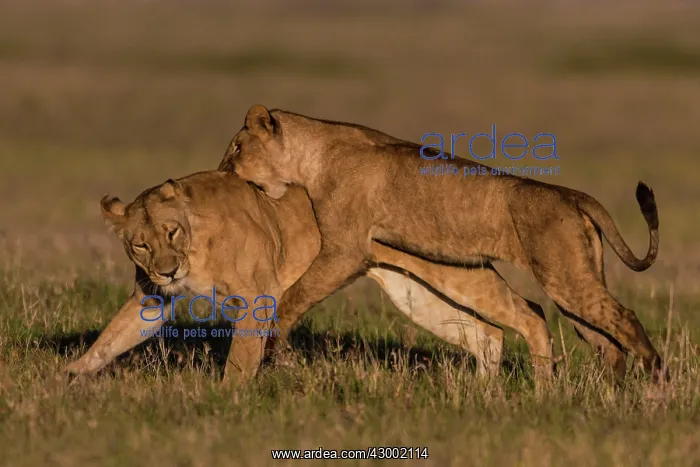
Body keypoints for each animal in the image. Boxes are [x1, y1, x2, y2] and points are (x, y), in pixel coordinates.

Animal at [65, 171, 559, 382]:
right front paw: (68, 380)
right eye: (141, 244)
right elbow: (110, 339)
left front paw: (227, 401)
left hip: (457, 277)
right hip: (414, 294)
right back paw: (483, 396)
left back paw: (542, 389)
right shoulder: (152, 299)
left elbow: (241, 360)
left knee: (530, 314)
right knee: (487, 334)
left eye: (171, 232)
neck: (195, 245)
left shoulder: (258, 297)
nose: (167, 270)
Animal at [220, 104, 665, 381]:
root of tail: (572, 195)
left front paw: (274, 345)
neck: (312, 154)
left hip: (566, 277)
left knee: (624, 320)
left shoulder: (345, 251)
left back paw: (653, 381)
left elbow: (294, 296)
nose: (223, 170)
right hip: (573, 283)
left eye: (237, 148)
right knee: (606, 343)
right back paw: (599, 394)